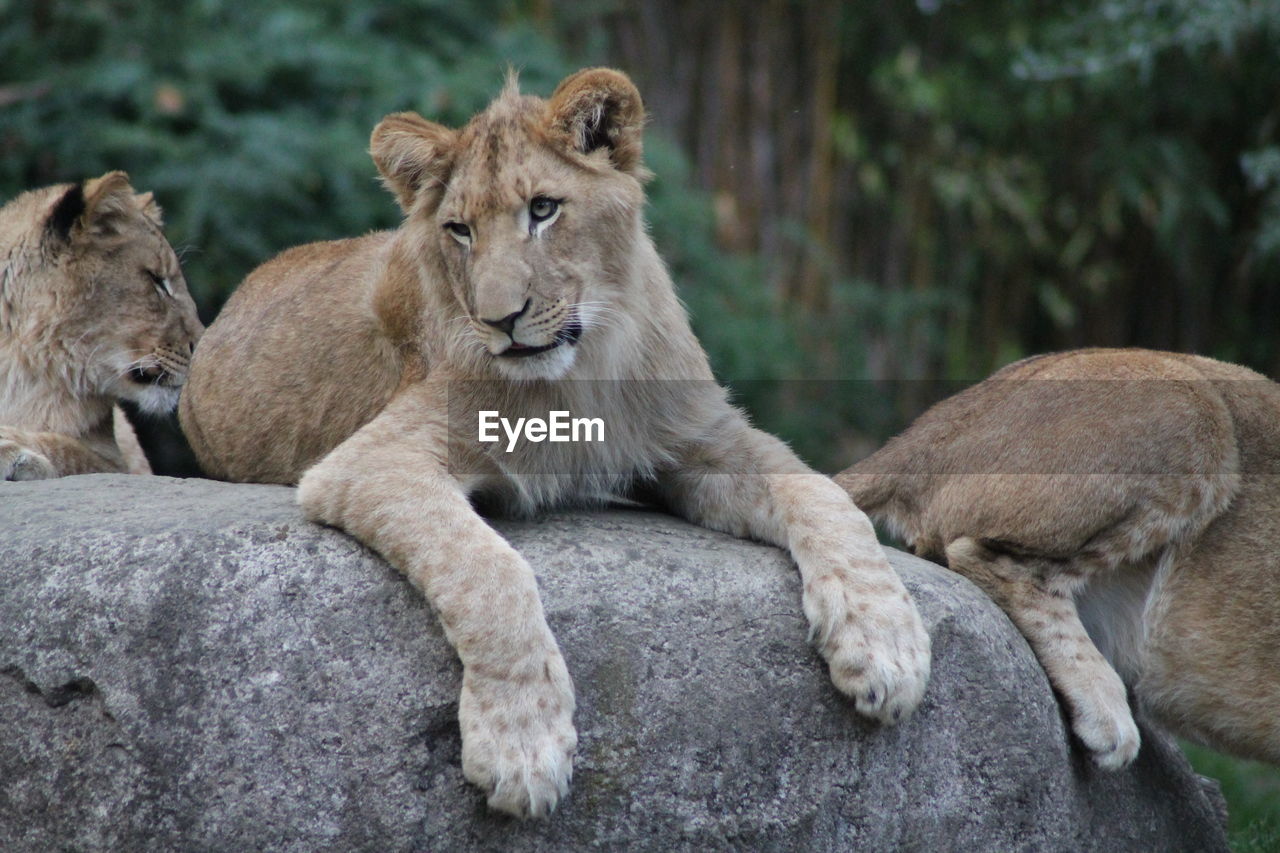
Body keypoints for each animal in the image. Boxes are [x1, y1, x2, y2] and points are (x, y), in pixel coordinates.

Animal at [177, 69, 931, 814]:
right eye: (459, 230)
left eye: (543, 209)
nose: (500, 319)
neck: (580, 372)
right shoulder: (370, 459)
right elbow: (489, 569)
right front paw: (522, 746)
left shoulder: (701, 435)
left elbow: (826, 494)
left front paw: (886, 646)